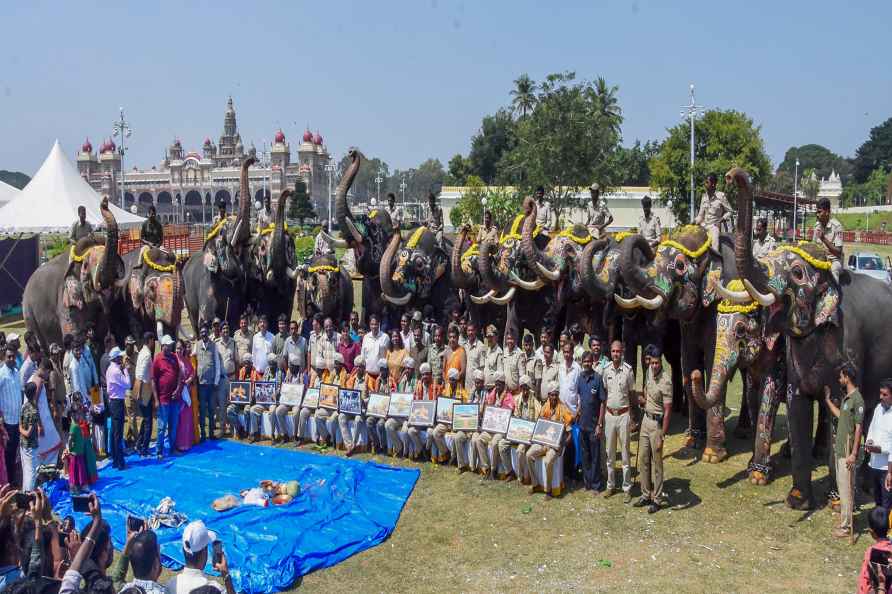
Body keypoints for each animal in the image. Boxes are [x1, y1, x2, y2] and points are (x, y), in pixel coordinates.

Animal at [22, 197, 124, 350]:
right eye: (87, 266)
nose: (105, 200)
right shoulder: (65, 297)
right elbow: (75, 335)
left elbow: (101, 331)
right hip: (29, 313)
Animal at [181, 155, 251, 330]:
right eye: (223, 232)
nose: (252, 159)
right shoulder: (207, 283)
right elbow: (207, 318)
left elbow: (235, 320)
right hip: (187, 294)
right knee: (194, 321)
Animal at [720, 165, 892, 504]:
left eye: (797, 273)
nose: (731, 175)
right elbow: (792, 402)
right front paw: (796, 498)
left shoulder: (845, 347)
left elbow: (838, 408)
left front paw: (835, 500)